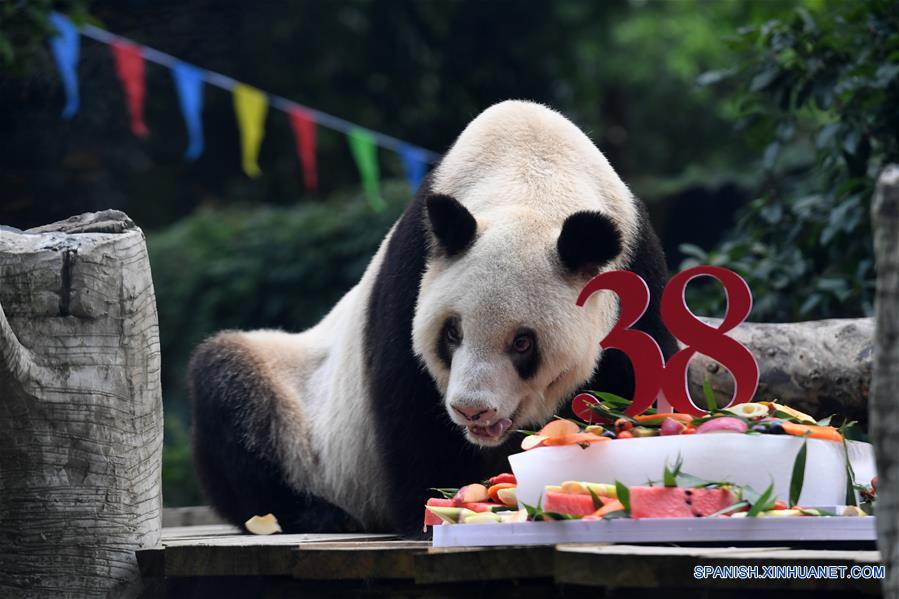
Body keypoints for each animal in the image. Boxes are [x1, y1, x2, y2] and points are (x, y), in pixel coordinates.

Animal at [189, 100, 677, 536]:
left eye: (523, 342)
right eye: (453, 333)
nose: (471, 409)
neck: (530, 177)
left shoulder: (635, 270)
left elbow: (639, 375)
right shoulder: (415, 267)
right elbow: (411, 402)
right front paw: (434, 506)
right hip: (299, 414)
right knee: (228, 388)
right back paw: (316, 514)